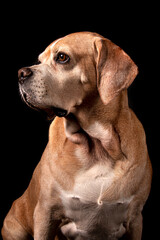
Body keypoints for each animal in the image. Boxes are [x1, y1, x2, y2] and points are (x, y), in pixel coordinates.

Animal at [1, 32, 152, 240]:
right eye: (40, 60)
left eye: (62, 57)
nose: (21, 73)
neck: (97, 146)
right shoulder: (45, 214)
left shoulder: (135, 219)